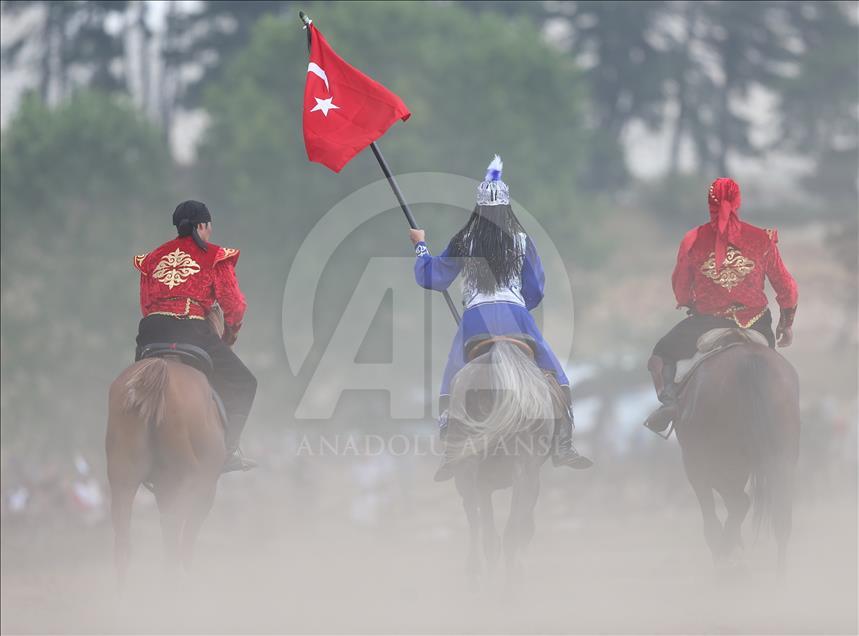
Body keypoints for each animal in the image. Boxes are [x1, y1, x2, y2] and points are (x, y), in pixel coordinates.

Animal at [106, 308, 227, 580]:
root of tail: (160, 370)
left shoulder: (163, 488)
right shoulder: (205, 488)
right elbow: (187, 543)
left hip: (123, 479)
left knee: (124, 546)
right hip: (184, 481)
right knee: (174, 544)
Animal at [676, 332, 804, 572]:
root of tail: (750, 361)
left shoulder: (696, 464)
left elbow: (715, 513)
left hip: (716, 459)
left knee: (738, 503)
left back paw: (726, 553)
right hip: (782, 458)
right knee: (781, 520)